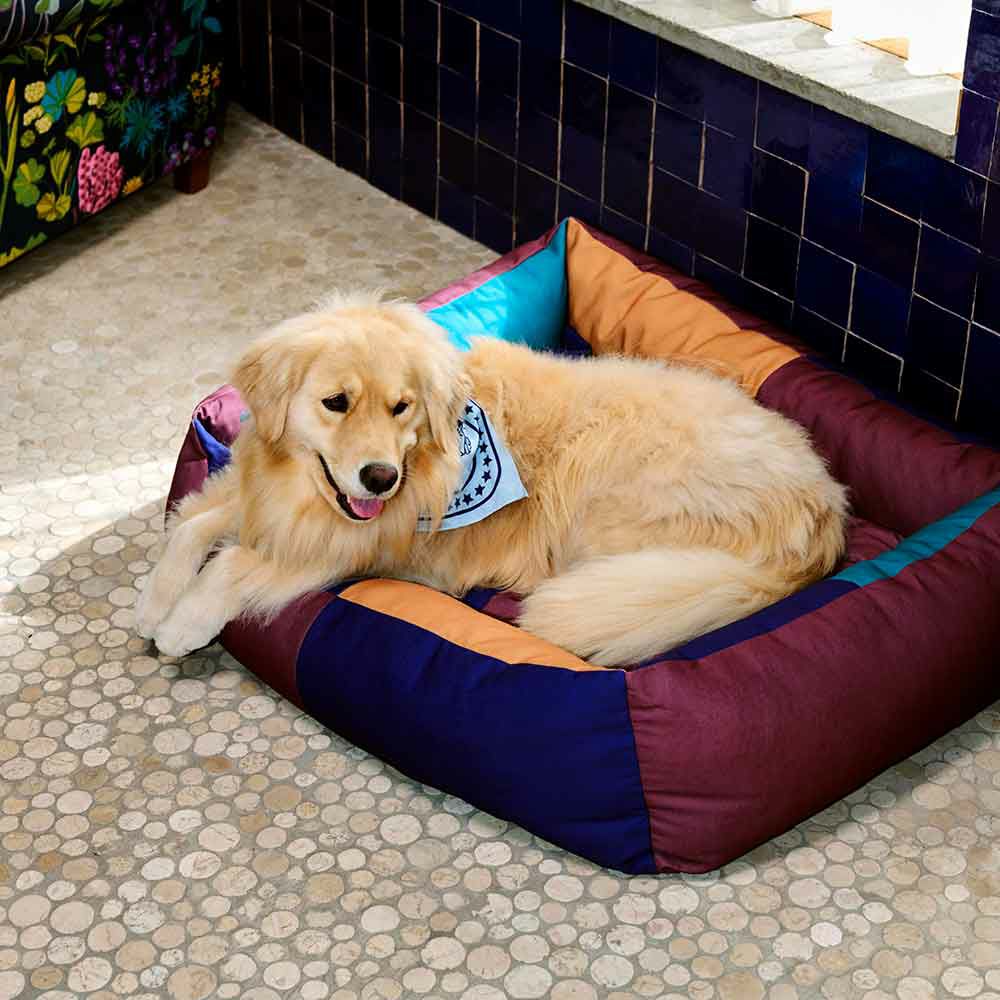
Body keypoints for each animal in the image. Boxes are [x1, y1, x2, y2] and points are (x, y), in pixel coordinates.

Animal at [136, 291, 848, 666]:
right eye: (335, 402)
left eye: (402, 407)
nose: (380, 478)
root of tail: (825, 512)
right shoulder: (268, 498)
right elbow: (193, 524)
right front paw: (155, 598)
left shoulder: (358, 543)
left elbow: (234, 565)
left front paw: (182, 623)